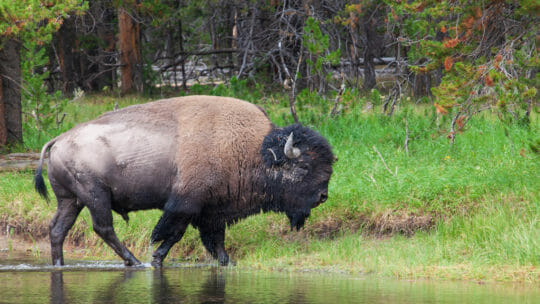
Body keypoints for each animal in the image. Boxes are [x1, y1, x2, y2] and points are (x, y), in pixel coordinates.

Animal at [33, 95, 334, 266]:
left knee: (58, 229)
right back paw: (134, 262)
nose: (323, 196)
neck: (255, 151)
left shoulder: (214, 211)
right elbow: (173, 233)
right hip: (95, 195)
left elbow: (215, 239)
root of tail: (59, 139)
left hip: (71, 200)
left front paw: (227, 262)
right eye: (304, 166)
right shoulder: (187, 204)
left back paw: (59, 264)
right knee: (103, 228)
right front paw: (155, 258)